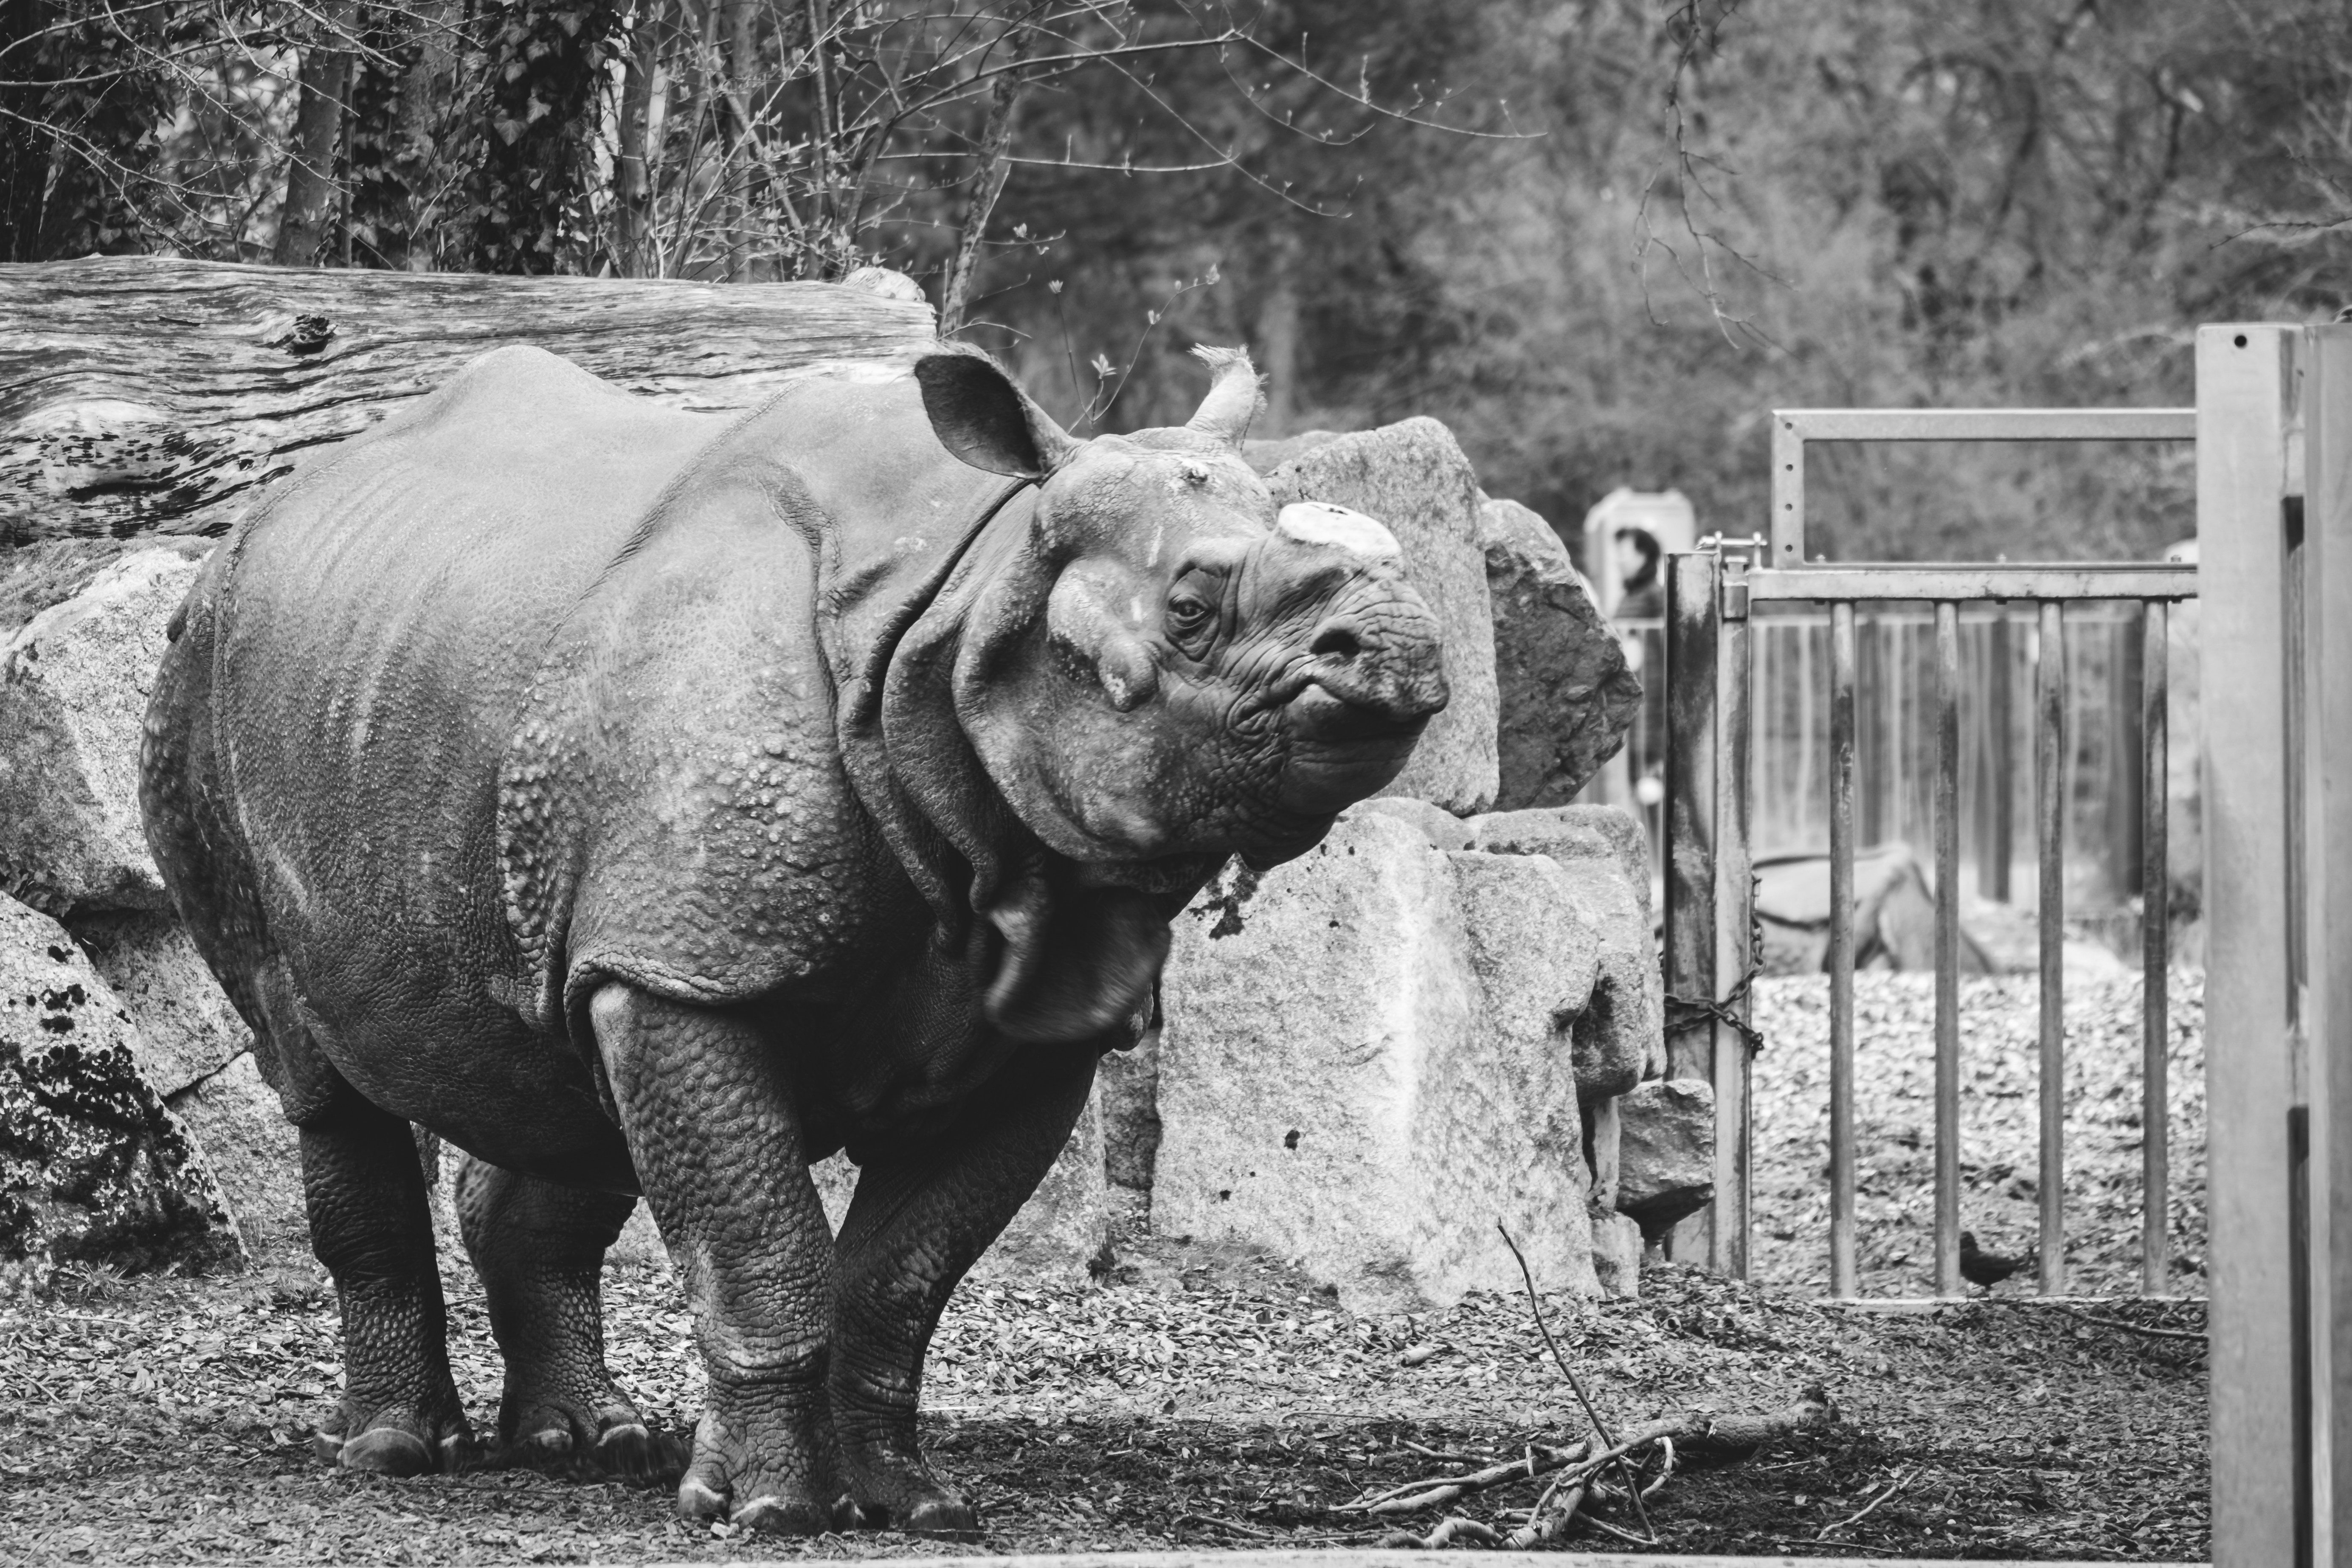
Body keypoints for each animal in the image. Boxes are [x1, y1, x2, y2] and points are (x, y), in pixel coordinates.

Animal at [139, 340, 1446, 1535]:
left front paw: (911, 1504)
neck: (971, 598)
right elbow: (760, 1248)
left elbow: (899, 1284)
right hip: (199, 676)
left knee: (561, 1070)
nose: (1404, 647)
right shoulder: (690, 967)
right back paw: (400, 1453)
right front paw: (769, 1510)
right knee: (316, 1066)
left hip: (456, 692)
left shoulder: (1029, 1020)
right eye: (1189, 608)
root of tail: (264, 512)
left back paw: (589, 1443)